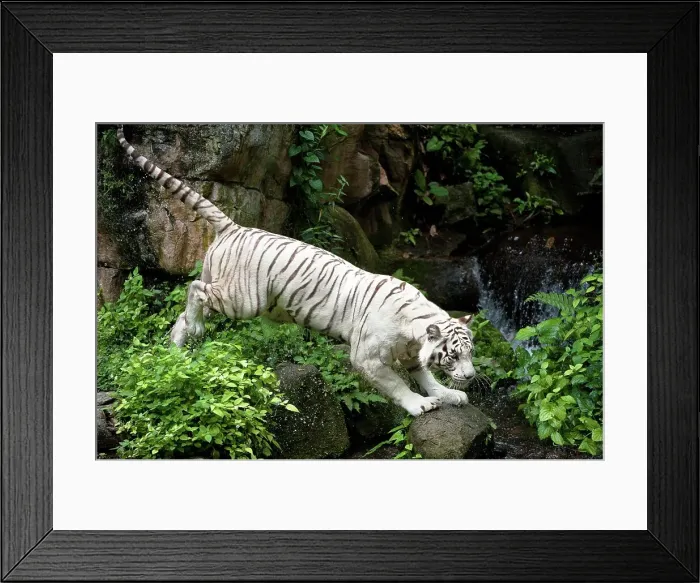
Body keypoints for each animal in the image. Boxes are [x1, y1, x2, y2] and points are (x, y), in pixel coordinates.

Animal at [116, 126, 476, 416]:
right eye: (453, 356)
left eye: (471, 353)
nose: (472, 376)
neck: (414, 328)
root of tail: (234, 226)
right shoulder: (368, 357)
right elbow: (397, 384)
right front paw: (420, 405)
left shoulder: (413, 355)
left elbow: (426, 376)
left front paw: (447, 395)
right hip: (243, 300)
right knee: (194, 288)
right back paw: (195, 328)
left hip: (225, 286)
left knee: (186, 308)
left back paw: (179, 344)